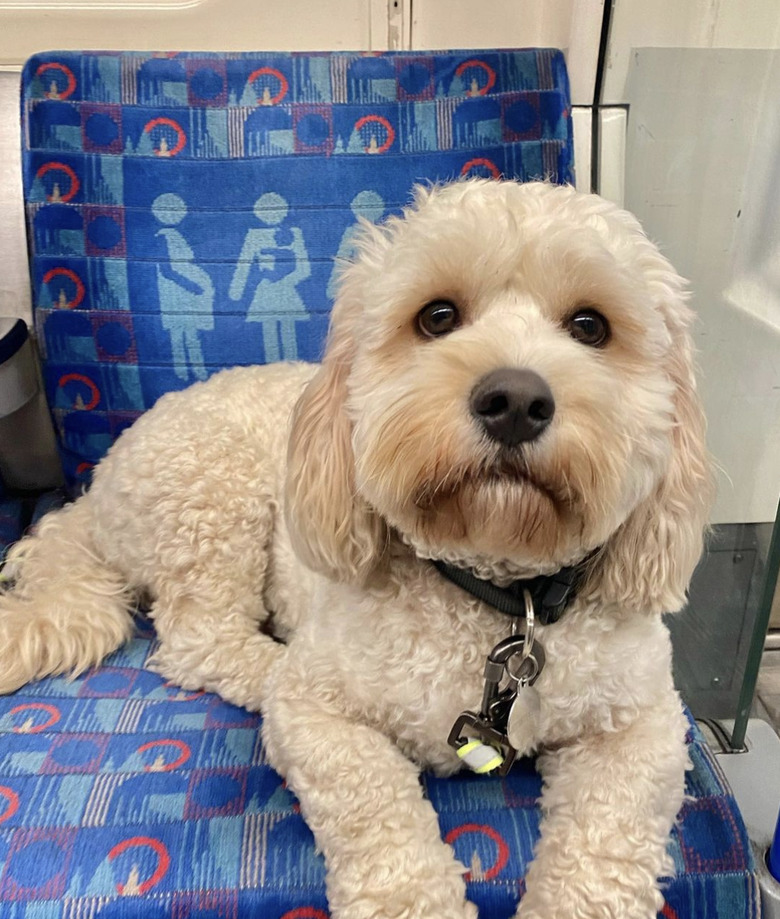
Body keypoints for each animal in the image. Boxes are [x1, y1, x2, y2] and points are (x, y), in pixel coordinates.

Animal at [0, 180, 712, 919]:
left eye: (590, 327)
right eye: (437, 316)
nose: (515, 399)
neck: (495, 589)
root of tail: (94, 490)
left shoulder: (643, 727)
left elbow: (604, 849)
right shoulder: (317, 717)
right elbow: (374, 801)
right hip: (212, 495)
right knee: (201, 639)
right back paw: (263, 666)